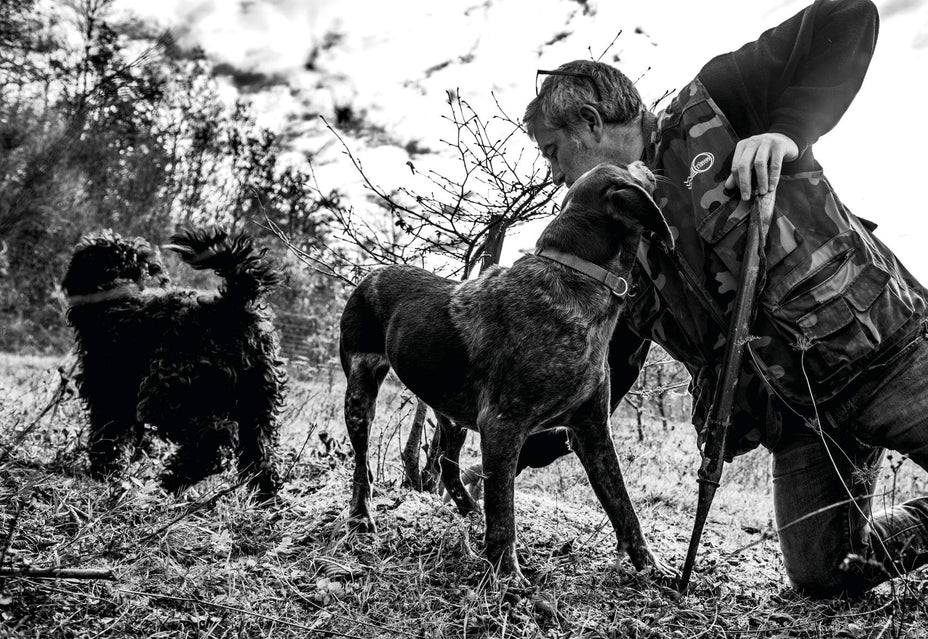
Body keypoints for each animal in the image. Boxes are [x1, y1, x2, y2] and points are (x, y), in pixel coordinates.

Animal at [62, 228, 286, 498]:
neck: (114, 293)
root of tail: (230, 306)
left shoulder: (110, 393)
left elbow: (109, 436)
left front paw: (104, 472)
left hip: (169, 394)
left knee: (215, 439)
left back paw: (171, 481)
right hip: (257, 404)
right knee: (262, 456)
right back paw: (262, 498)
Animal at [340, 160, 676, 580]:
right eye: (628, 169)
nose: (646, 162)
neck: (578, 277)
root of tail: (370, 276)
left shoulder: (592, 431)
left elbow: (623, 506)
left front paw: (652, 567)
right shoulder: (503, 425)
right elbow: (503, 511)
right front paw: (506, 573)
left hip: (450, 412)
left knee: (447, 464)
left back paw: (468, 510)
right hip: (360, 394)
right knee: (361, 464)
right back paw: (361, 517)